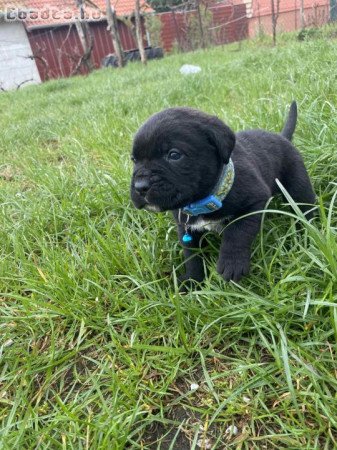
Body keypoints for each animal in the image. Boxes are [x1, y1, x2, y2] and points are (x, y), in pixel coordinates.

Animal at [130, 102, 314, 286]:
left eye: (174, 155)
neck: (205, 199)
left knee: (305, 208)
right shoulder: (185, 228)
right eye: (134, 160)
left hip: (298, 186)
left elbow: (237, 233)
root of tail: (282, 137)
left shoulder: (254, 202)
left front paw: (232, 263)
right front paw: (193, 280)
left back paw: (307, 235)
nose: (140, 187)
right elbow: (192, 256)